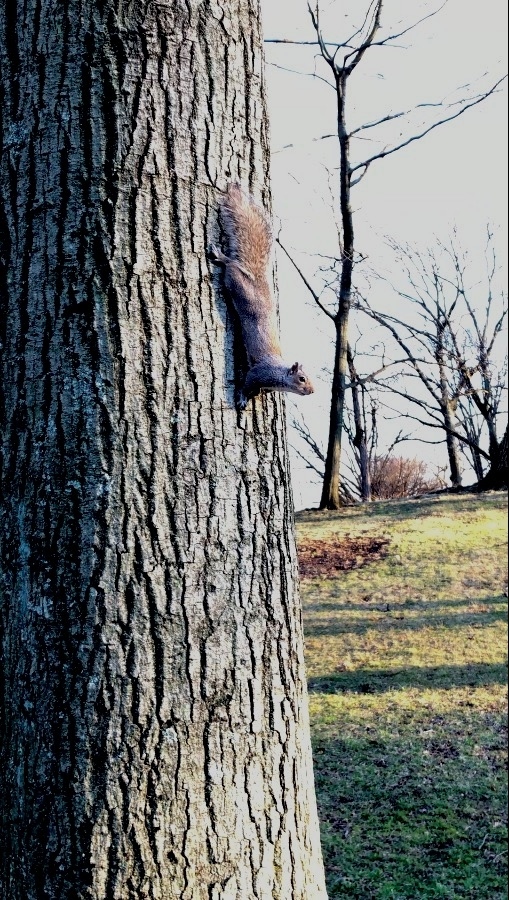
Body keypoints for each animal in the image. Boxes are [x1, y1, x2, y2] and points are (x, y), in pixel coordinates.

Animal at [207, 185, 312, 410]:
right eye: (301, 379)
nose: (312, 391)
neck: (279, 374)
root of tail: (255, 278)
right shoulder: (259, 373)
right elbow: (247, 383)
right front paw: (241, 398)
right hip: (237, 284)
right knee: (231, 265)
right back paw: (221, 257)